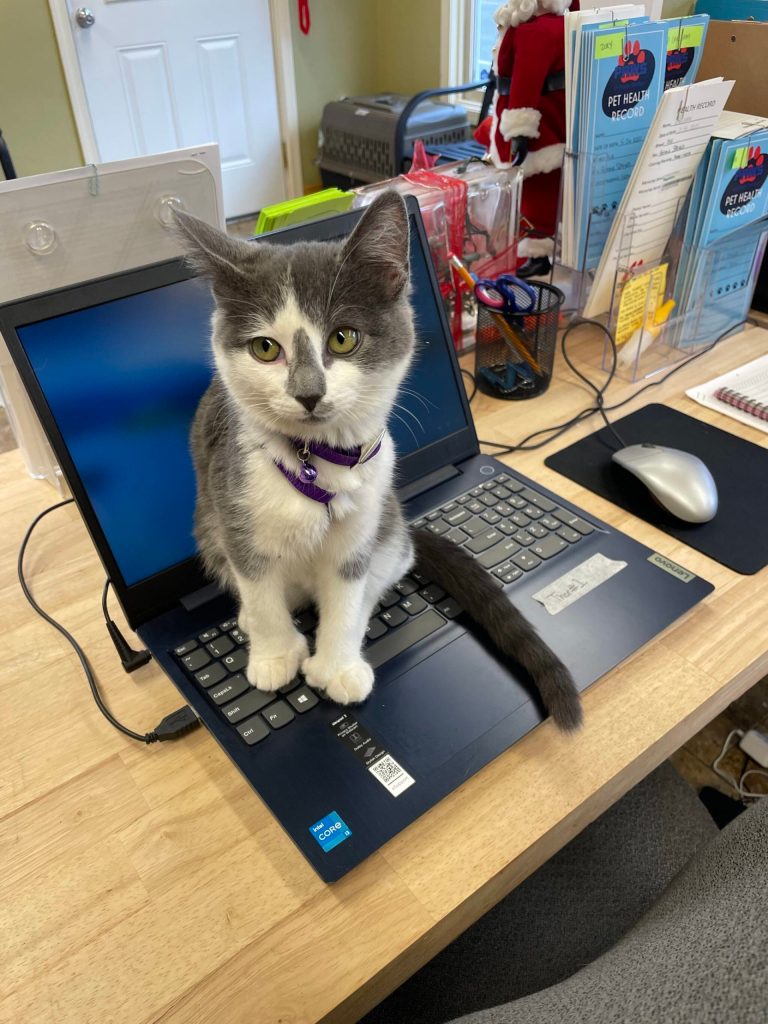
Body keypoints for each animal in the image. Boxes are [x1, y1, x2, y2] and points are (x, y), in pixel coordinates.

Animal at [174, 192, 582, 730]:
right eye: (265, 348)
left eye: (343, 338)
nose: (308, 393)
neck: (316, 459)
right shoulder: (236, 505)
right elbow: (259, 588)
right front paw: (274, 654)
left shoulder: (364, 514)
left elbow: (348, 590)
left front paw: (337, 665)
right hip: (208, 520)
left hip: (387, 517)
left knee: (390, 563)